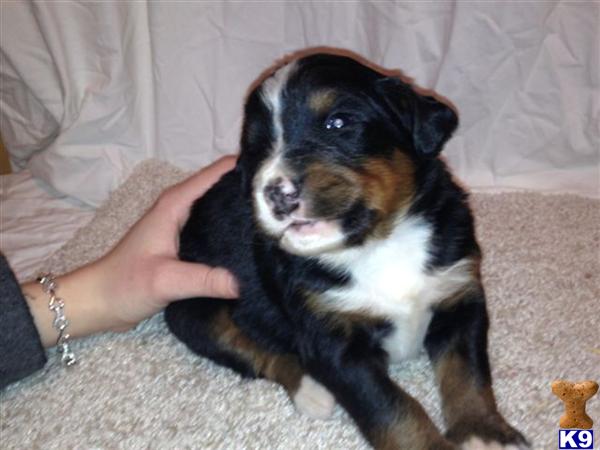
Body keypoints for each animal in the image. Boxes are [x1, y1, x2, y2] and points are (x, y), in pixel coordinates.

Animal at [163, 53, 524, 450]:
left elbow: (468, 376)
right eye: (257, 146)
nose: (276, 192)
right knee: (253, 348)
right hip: (193, 309)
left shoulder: (460, 297)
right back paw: (312, 390)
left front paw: (485, 434)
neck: (379, 243)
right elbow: (393, 408)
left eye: (337, 123)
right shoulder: (333, 341)